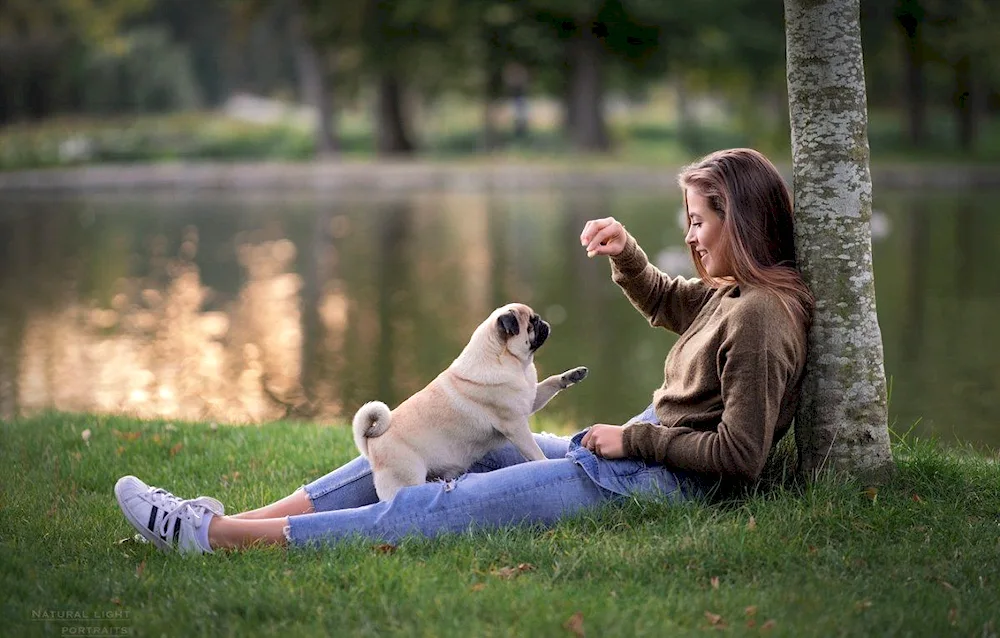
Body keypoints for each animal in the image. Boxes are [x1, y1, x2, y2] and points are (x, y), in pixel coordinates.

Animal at [352, 302, 584, 502]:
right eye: (532, 323)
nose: (544, 322)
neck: (512, 363)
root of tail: (371, 442)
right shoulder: (516, 426)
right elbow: (534, 452)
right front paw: (546, 465)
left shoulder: (530, 400)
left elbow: (549, 383)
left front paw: (570, 376)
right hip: (405, 478)